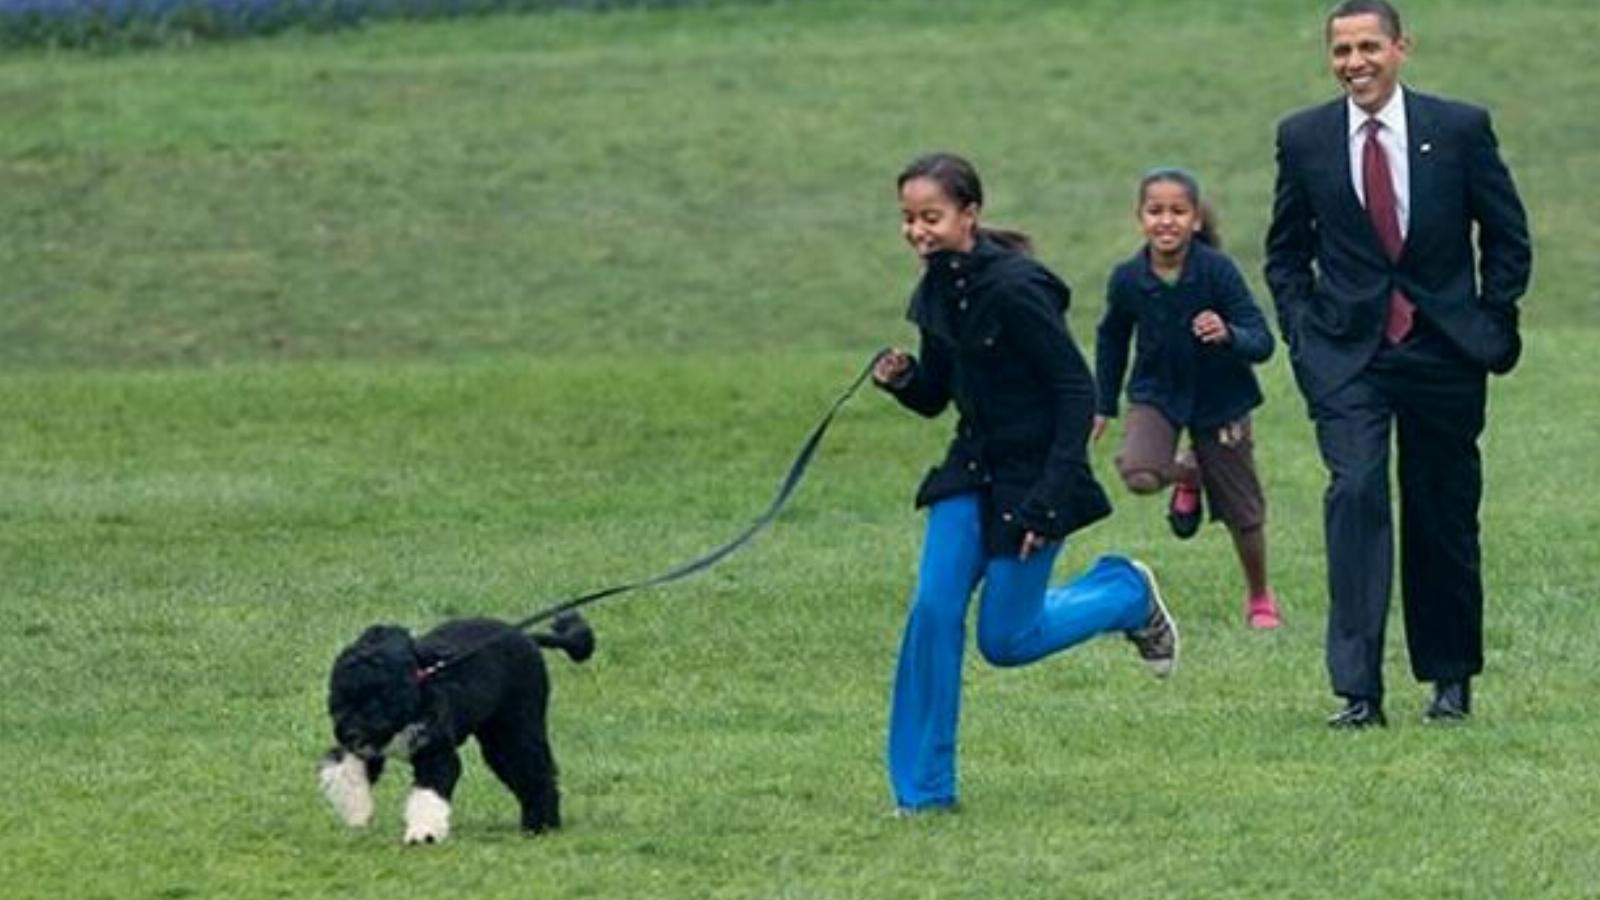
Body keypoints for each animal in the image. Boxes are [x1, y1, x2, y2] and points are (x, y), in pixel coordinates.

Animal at [318, 608, 595, 839]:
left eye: (377, 696)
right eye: (340, 697)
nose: (350, 731)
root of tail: (525, 635)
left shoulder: (436, 753)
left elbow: (429, 791)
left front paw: (423, 833)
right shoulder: (368, 748)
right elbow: (347, 772)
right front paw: (356, 811)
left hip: (516, 727)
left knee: (537, 773)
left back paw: (541, 826)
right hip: (498, 739)